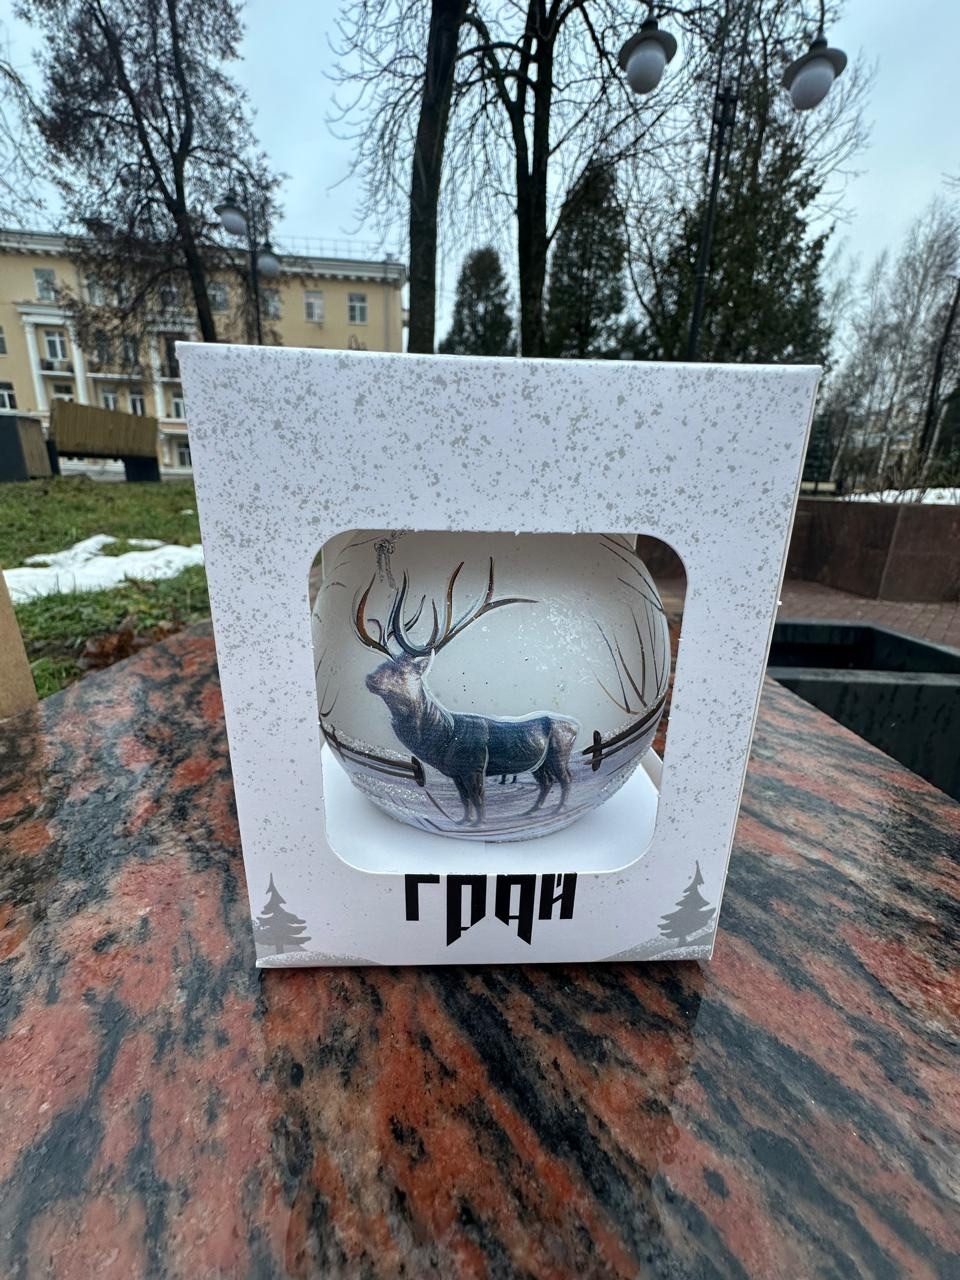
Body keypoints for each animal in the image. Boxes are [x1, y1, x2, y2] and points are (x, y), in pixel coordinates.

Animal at [353, 559, 580, 826]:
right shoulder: (455, 772)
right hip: (539, 763)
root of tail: (576, 727)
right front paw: (463, 822)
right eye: (383, 664)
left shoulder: (474, 766)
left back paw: (559, 810)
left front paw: (479, 824)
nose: (369, 678)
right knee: (547, 782)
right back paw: (531, 812)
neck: (444, 738)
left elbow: (479, 798)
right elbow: (464, 799)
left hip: (559, 753)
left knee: (566, 779)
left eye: (399, 671)